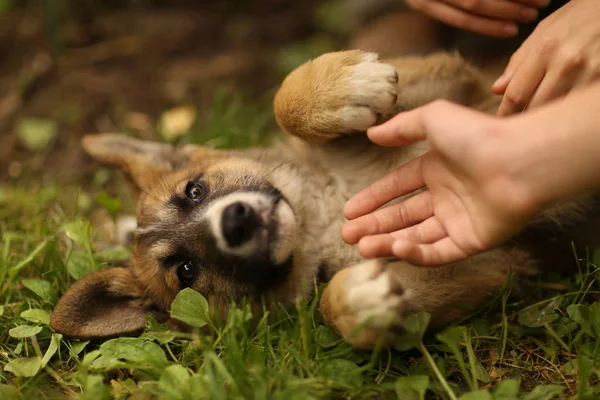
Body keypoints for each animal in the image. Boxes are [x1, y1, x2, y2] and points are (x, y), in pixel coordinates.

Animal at [50, 50, 592, 348]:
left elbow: (283, 102)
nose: (237, 222)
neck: (321, 218)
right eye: (186, 271)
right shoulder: (489, 265)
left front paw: (347, 85)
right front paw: (361, 304)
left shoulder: (455, 84)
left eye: (194, 190)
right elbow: (341, 307)